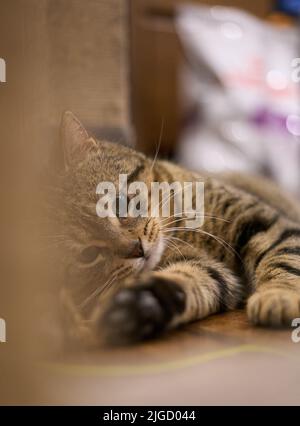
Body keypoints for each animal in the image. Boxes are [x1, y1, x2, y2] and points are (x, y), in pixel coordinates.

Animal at [55, 111, 300, 344]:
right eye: (88, 255)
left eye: (118, 203)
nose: (137, 249)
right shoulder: (205, 268)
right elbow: (183, 281)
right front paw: (133, 308)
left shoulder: (261, 223)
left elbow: (284, 256)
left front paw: (278, 295)